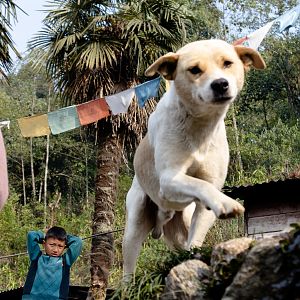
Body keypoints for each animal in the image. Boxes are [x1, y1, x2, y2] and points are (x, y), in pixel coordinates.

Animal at [122, 39, 264, 276]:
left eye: (228, 63)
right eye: (194, 70)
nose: (220, 84)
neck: (199, 124)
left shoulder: (208, 192)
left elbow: (197, 232)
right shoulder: (169, 180)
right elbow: (199, 185)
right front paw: (226, 203)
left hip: (182, 221)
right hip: (135, 222)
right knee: (128, 268)